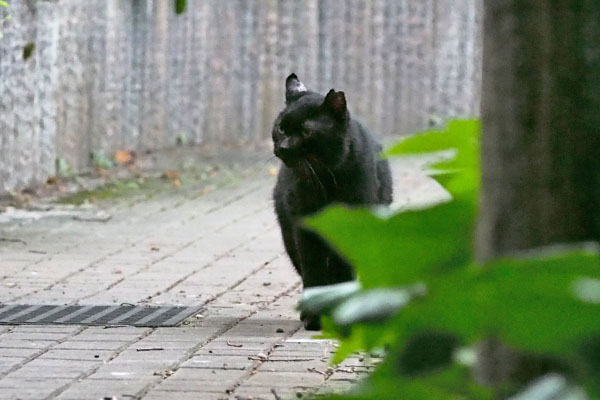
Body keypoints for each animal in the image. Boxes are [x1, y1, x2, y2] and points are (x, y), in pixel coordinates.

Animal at [272, 73, 394, 330]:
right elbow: (314, 271)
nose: (283, 146)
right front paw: (314, 316)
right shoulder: (305, 230)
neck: (326, 180)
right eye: (281, 128)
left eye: (306, 132)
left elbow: (343, 268)